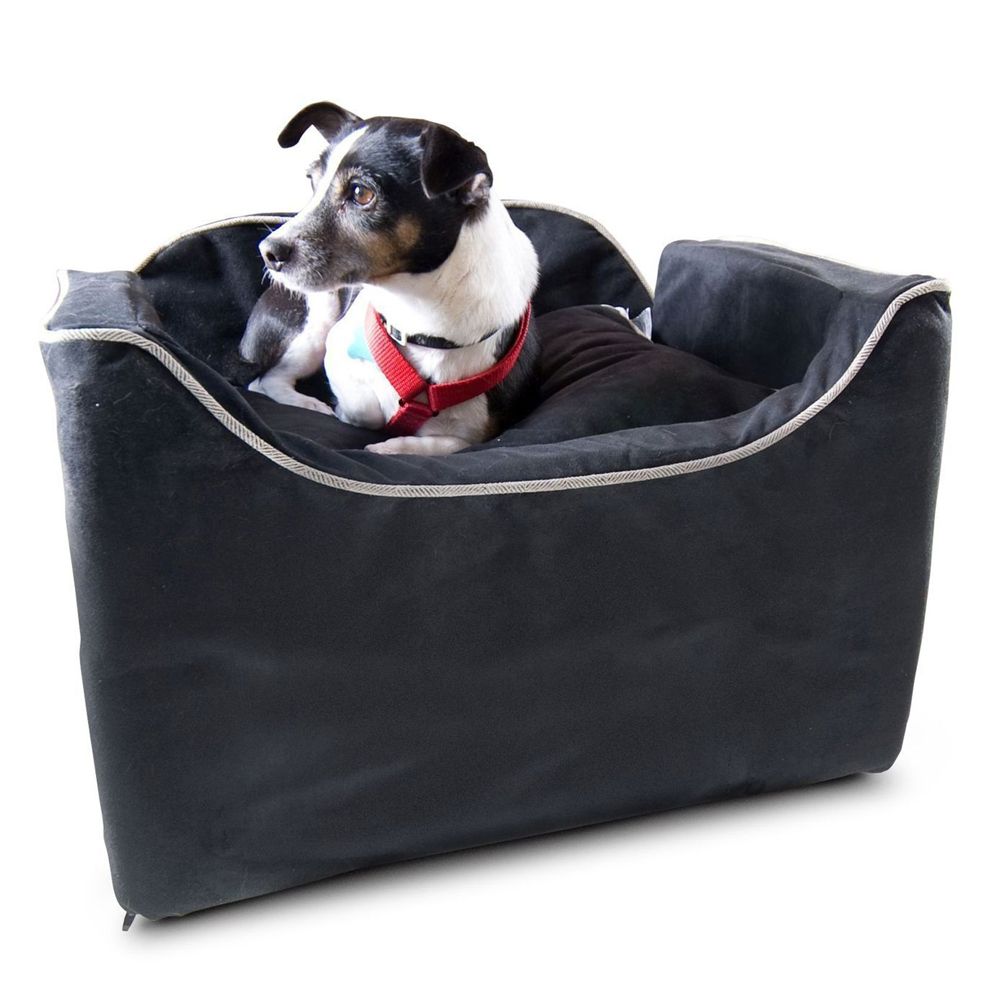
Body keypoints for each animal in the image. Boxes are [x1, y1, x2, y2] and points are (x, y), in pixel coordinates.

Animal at [240, 102, 540, 456]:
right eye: (313, 182)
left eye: (361, 193)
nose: (267, 252)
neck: (422, 316)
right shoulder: (336, 350)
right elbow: (364, 408)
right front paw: (355, 417)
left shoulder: (476, 435)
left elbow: (443, 442)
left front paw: (392, 446)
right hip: (314, 326)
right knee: (265, 381)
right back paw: (310, 404)